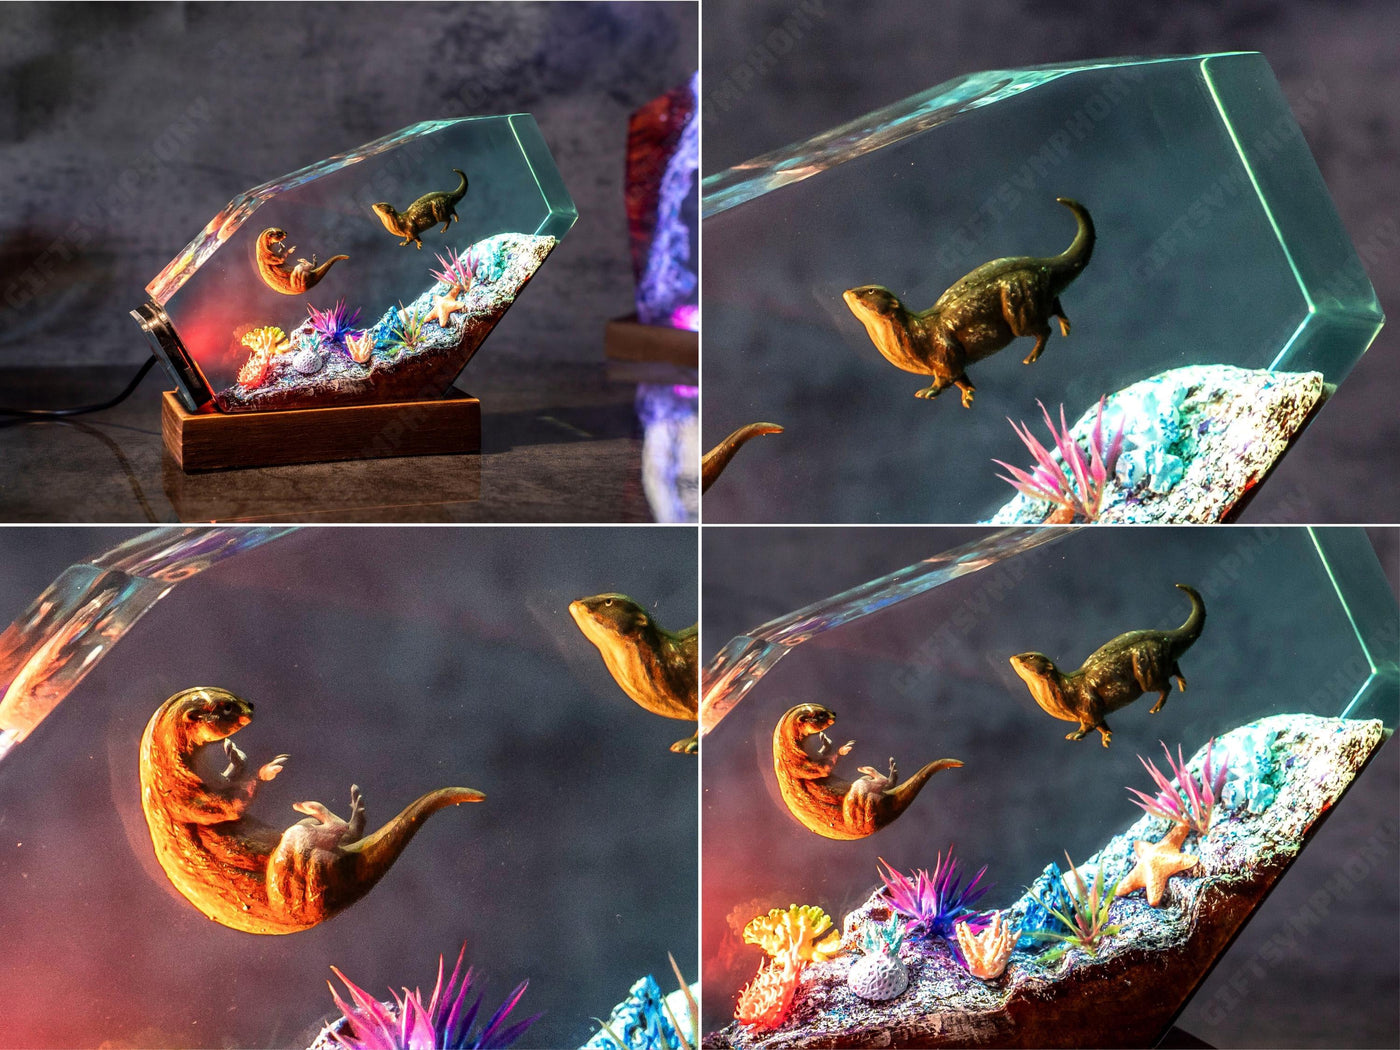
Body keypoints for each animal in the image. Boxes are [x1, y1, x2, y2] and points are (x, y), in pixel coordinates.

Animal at [138, 687, 484, 935]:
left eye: (230, 695)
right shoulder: (184, 797)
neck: (164, 774)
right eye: (226, 707)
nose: (251, 704)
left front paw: (236, 757)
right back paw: (319, 809)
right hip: (296, 859)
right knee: (327, 833)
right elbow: (231, 805)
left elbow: (232, 781)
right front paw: (268, 768)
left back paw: (352, 809)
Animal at [772, 703, 962, 841]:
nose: (834, 713)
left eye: (822, 707)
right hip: (859, 796)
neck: (787, 750)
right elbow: (824, 768)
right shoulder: (799, 764)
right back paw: (876, 770)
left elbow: (824, 754)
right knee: (881, 783)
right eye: (820, 715)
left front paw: (826, 741)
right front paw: (844, 748)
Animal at [844, 197, 1094, 406]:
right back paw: (1066, 326)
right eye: (862, 287)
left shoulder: (945, 354)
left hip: (1020, 308)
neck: (916, 336)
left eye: (870, 291)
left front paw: (929, 391)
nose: (849, 292)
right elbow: (962, 380)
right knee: (1055, 305)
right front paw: (968, 395)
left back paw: (1032, 356)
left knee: (1043, 329)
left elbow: (947, 378)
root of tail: (1040, 266)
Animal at [1010, 584, 1206, 748]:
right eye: (1024, 653)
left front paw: (1076, 734)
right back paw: (1182, 683)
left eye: (1030, 656)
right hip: (1159, 662)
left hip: (1147, 670)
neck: (1066, 691)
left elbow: (1090, 724)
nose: (1014, 657)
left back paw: (1156, 706)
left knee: (1165, 686)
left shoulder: (1088, 706)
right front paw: (1107, 737)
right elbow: (1102, 725)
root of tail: (1164, 637)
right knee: (1174, 667)